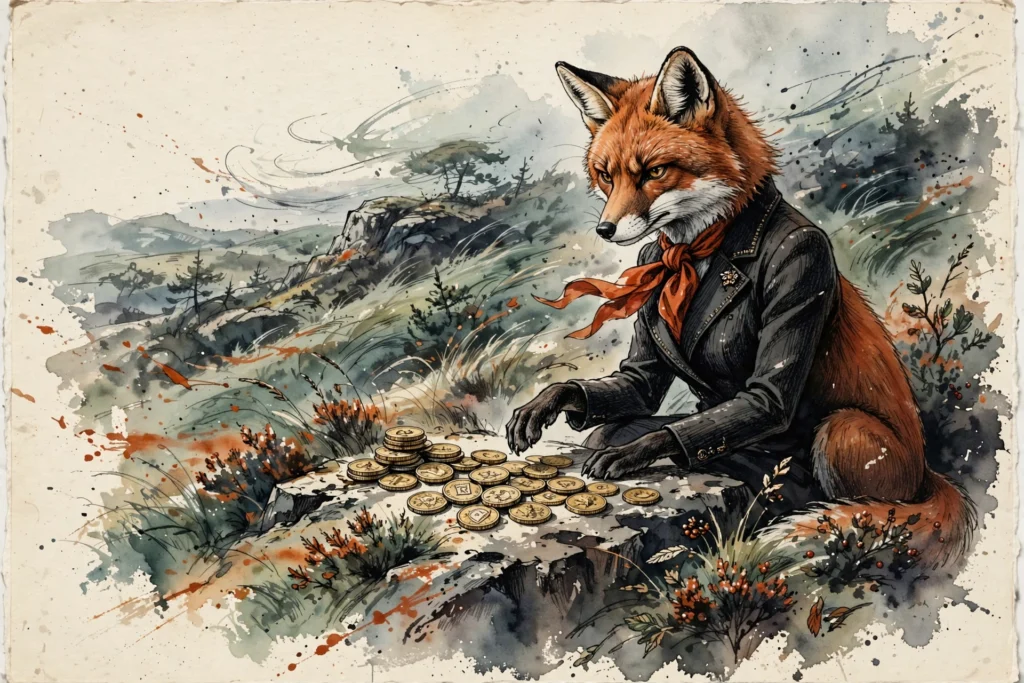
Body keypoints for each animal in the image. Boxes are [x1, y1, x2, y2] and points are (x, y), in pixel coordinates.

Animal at [513, 47, 974, 566]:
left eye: (654, 171)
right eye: (606, 175)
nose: (605, 230)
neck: (694, 251)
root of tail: (925, 474)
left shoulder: (802, 266)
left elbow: (750, 402)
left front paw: (637, 450)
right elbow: (636, 384)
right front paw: (551, 400)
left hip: (841, 432)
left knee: (873, 510)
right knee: (604, 428)